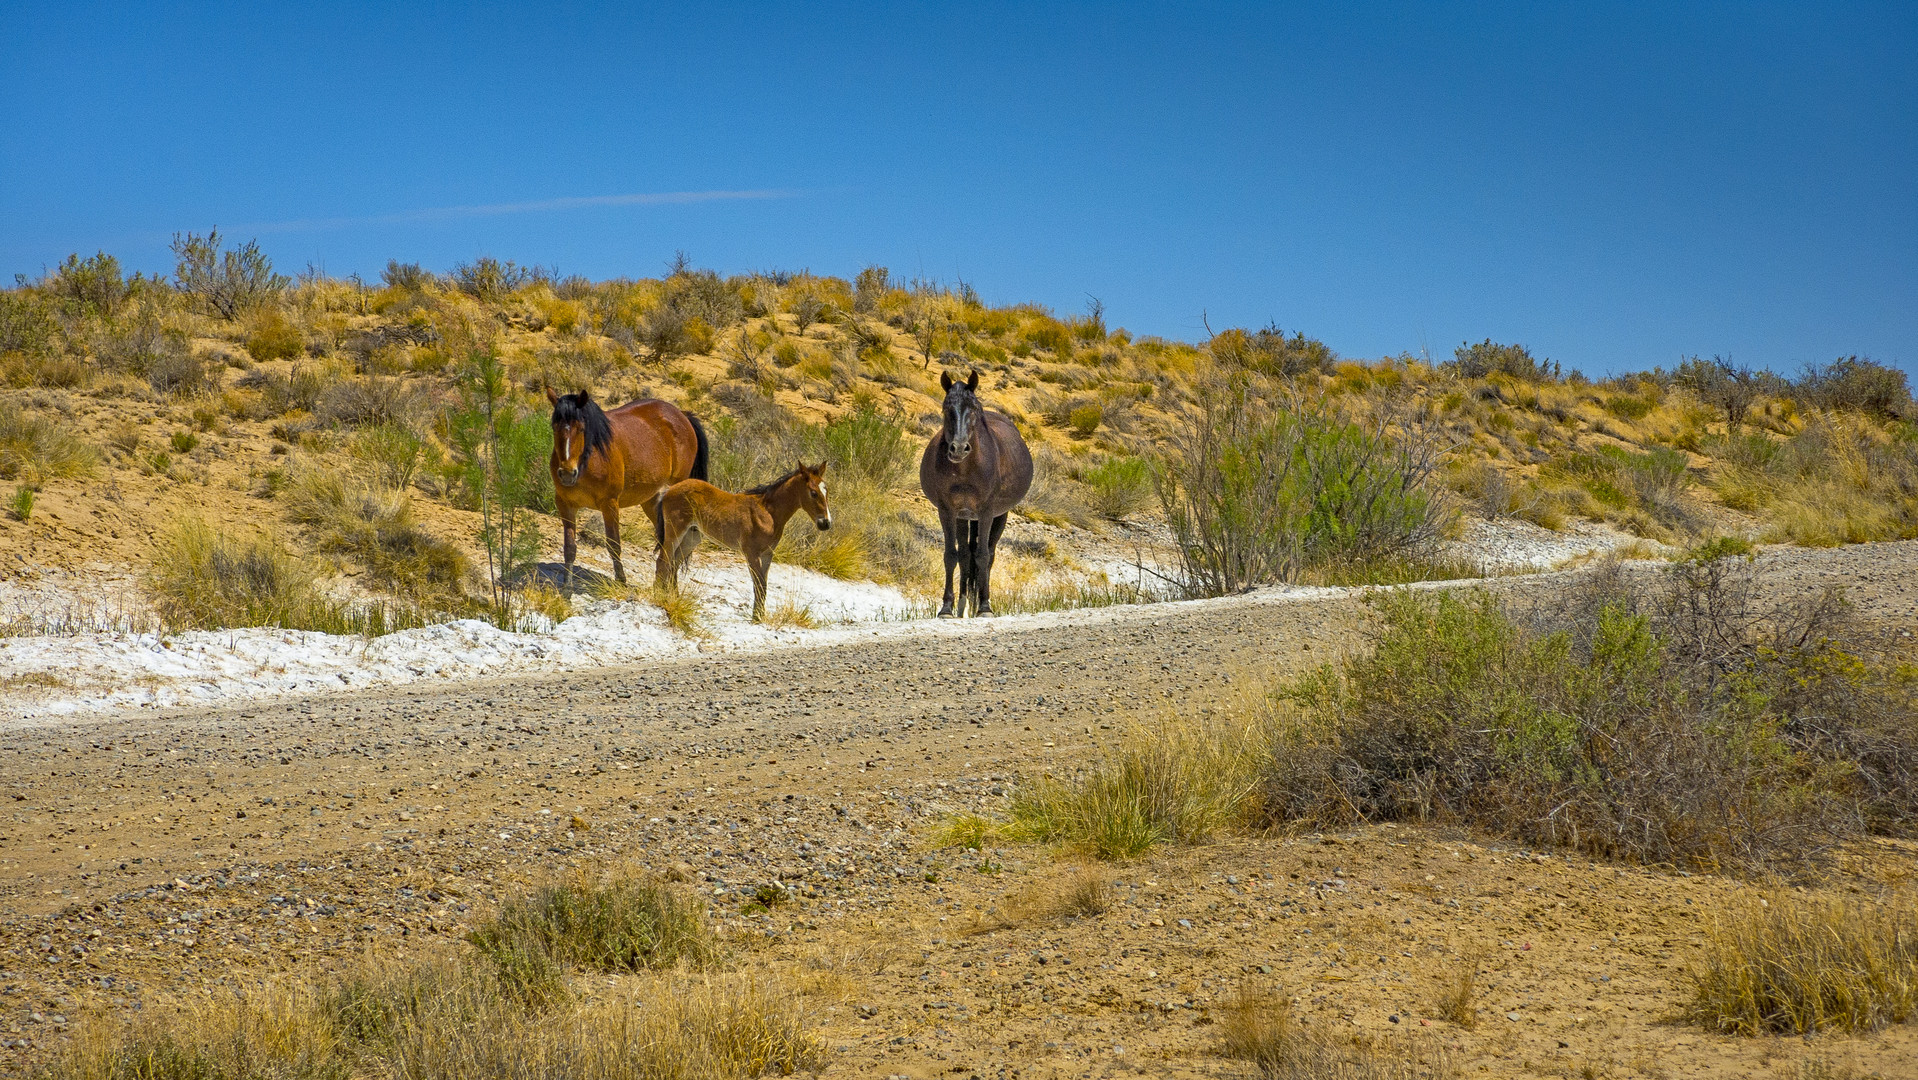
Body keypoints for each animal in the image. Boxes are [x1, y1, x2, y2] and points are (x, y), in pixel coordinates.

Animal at [548, 389, 713, 586]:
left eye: (581, 428)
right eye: (554, 427)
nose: (567, 473)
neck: (588, 460)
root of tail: (682, 415)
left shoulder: (610, 504)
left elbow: (613, 544)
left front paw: (621, 580)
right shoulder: (565, 504)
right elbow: (570, 546)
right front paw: (567, 585)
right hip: (652, 501)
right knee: (668, 543)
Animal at [652, 460, 832, 621]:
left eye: (827, 492)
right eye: (813, 493)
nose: (826, 523)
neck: (768, 512)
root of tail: (669, 490)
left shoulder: (767, 554)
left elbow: (764, 585)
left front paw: (759, 616)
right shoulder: (751, 553)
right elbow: (758, 585)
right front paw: (756, 618)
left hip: (691, 537)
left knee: (673, 565)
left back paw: (674, 598)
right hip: (675, 532)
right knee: (663, 561)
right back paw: (659, 596)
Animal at [916, 370, 1028, 617]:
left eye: (974, 408)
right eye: (946, 408)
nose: (958, 448)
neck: (965, 470)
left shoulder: (986, 512)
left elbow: (983, 556)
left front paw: (985, 607)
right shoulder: (947, 511)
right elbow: (952, 555)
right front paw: (946, 608)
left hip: (999, 516)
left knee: (989, 554)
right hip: (963, 517)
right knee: (966, 555)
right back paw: (963, 606)